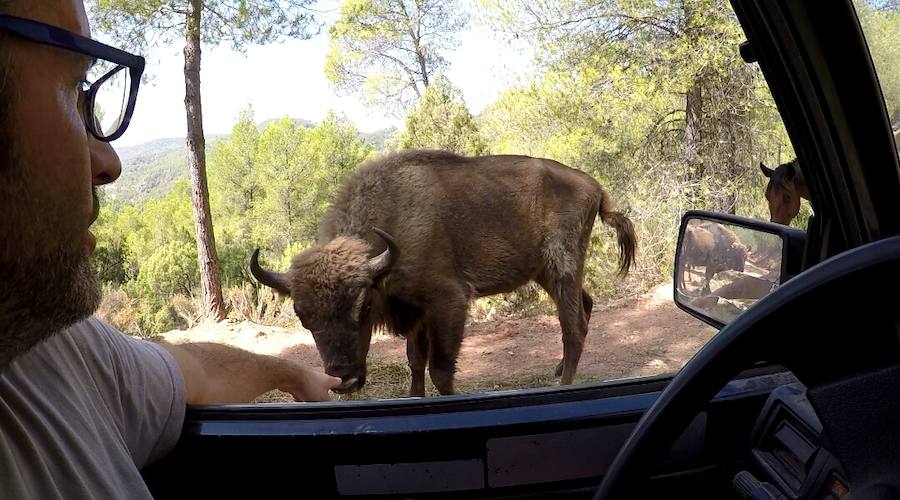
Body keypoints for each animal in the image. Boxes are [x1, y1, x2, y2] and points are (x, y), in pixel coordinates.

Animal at [250, 148, 636, 394]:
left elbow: (439, 368)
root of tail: (594, 186)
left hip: (562, 266)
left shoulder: (448, 302)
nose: (344, 379)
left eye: (364, 307)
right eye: (304, 317)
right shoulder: (417, 312)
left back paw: (563, 384)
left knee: (574, 327)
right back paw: (558, 370)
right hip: (546, 273)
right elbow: (415, 360)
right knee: (585, 306)